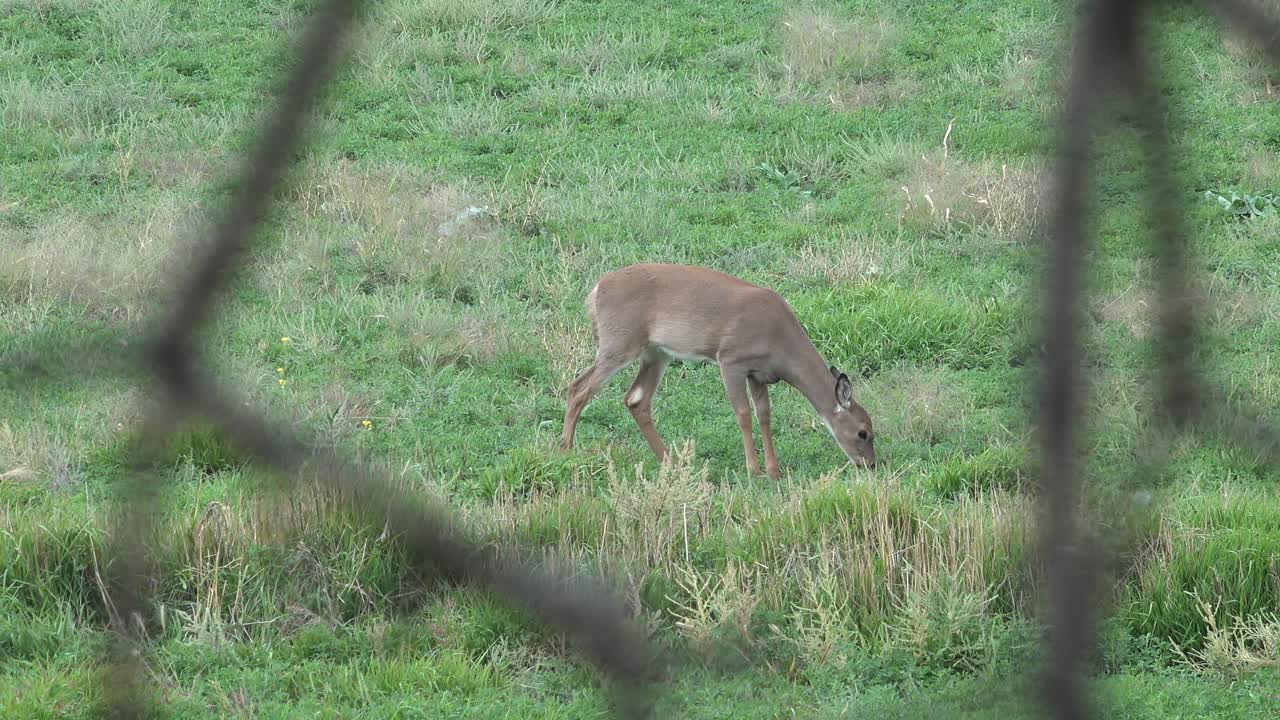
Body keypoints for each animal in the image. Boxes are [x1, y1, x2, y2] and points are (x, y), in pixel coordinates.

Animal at [558, 263, 875, 479]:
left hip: (656, 353)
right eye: (863, 433)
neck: (780, 342)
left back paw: (669, 460)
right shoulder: (731, 360)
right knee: (578, 388)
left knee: (636, 399)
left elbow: (764, 415)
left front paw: (774, 470)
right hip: (620, 341)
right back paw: (566, 450)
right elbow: (743, 413)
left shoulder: (759, 374)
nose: (870, 464)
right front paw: (753, 469)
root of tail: (596, 290)